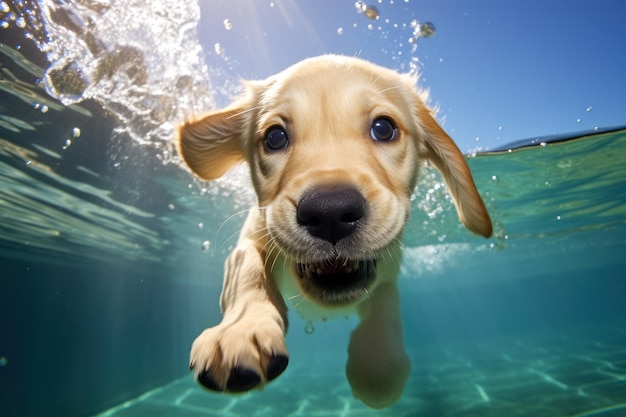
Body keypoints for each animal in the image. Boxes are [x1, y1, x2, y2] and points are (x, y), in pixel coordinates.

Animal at [176, 53, 492, 408]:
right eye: (274, 137)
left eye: (383, 129)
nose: (330, 213)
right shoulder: (250, 238)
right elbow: (248, 268)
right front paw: (239, 332)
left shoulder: (388, 271)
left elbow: (382, 354)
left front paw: (375, 364)